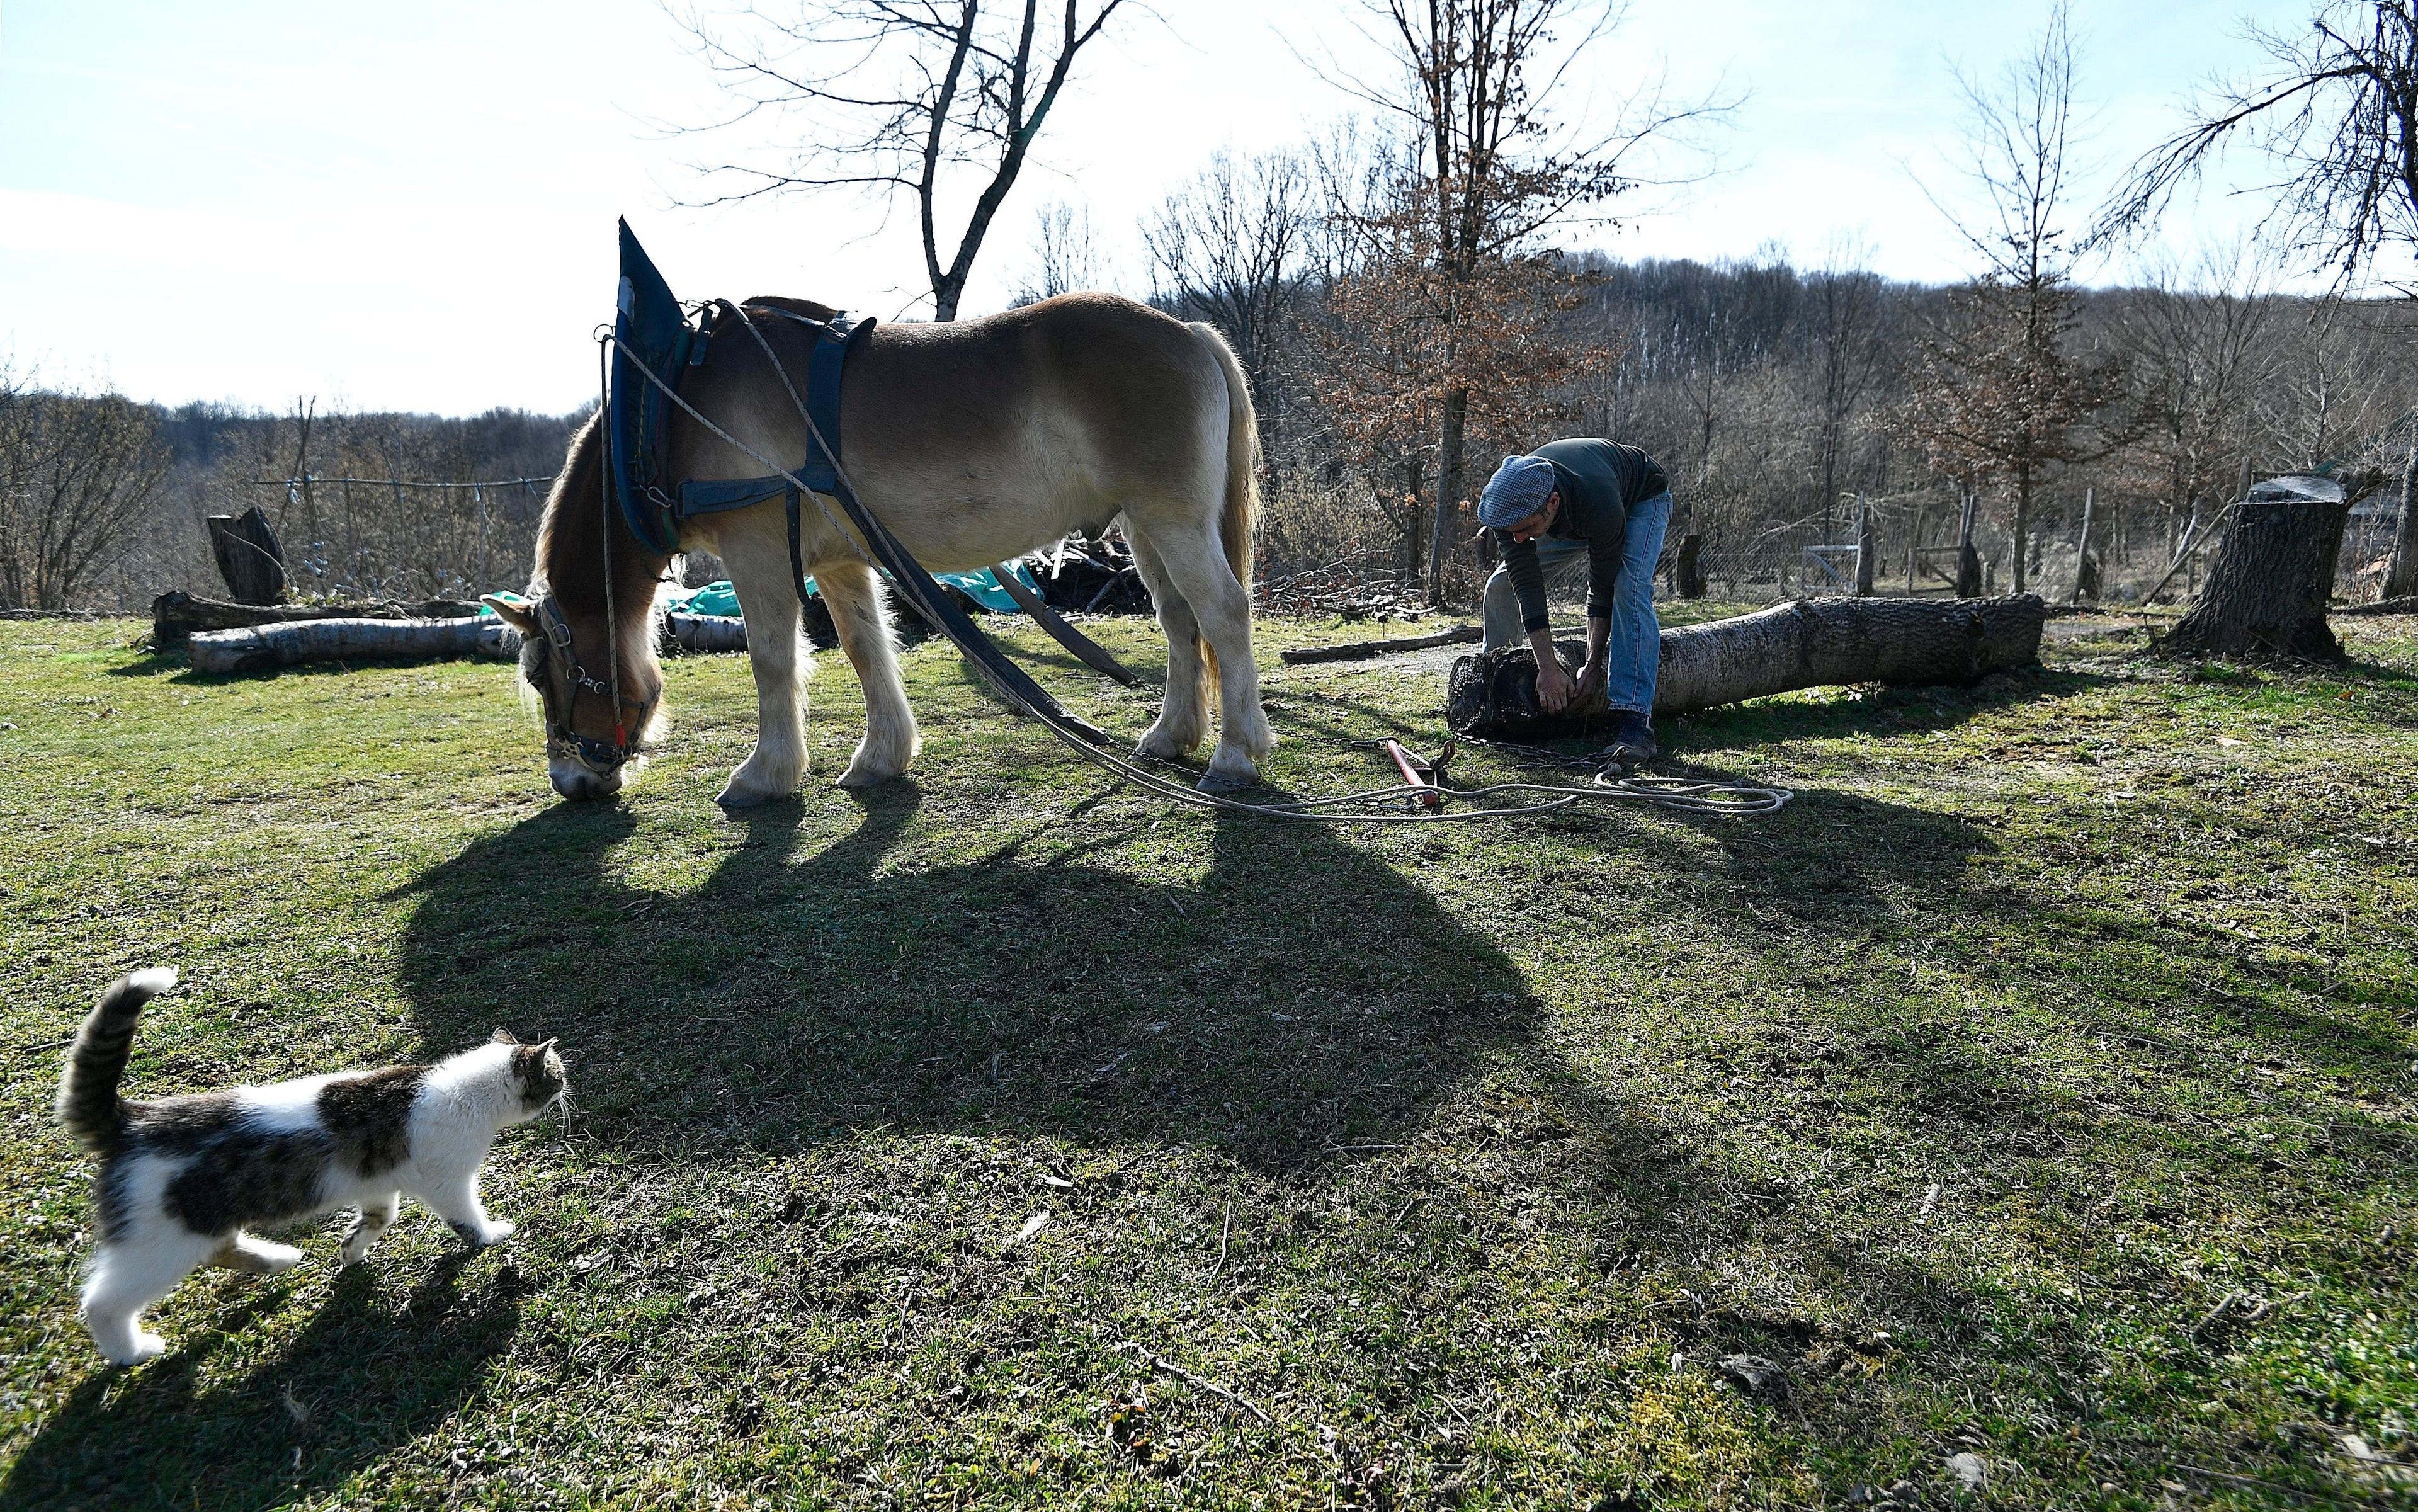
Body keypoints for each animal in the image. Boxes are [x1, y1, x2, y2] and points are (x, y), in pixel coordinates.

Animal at [59, 967, 568, 1364]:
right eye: (557, 1072)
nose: (569, 1084)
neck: (466, 1093)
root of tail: (133, 1118)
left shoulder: (377, 1182)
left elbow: (379, 1219)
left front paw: (351, 1250)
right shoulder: (449, 1180)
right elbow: (466, 1217)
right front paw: (490, 1234)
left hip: (195, 1224)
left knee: (220, 1248)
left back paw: (278, 1258)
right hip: (161, 1240)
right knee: (103, 1301)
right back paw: (130, 1350)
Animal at [493, 285, 1286, 803]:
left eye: (542, 675)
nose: (570, 782)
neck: (675, 404)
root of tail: (1188, 331)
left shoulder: (757, 554)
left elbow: (772, 662)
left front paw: (764, 774)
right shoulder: (841, 562)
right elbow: (866, 650)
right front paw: (882, 757)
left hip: (1173, 521)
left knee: (1223, 614)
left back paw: (1233, 755)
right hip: (1145, 527)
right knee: (1180, 622)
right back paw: (1171, 735)